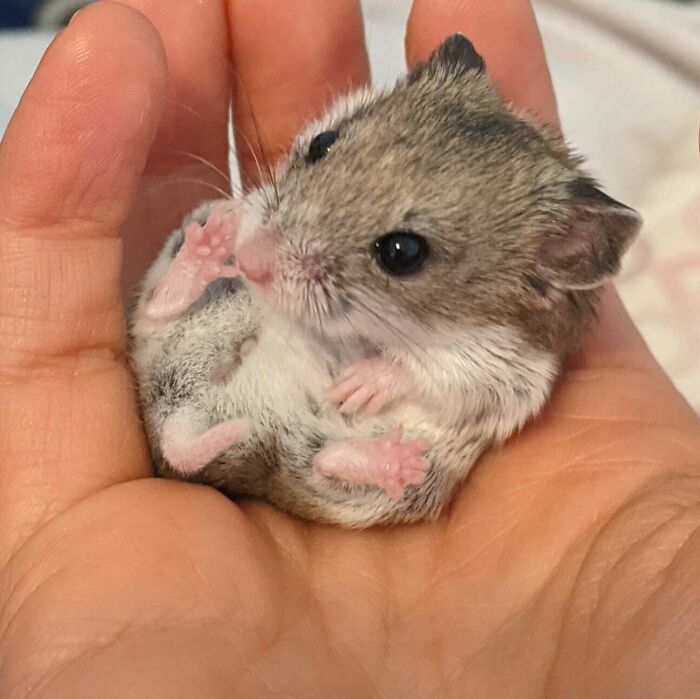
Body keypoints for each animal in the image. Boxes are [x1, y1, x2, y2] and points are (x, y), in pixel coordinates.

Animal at [128, 34, 641, 528]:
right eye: (322, 143)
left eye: (402, 252)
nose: (249, 262)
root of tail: (183, 418)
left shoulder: (507, 374)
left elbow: (426, 367)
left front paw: (353, 386)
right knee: (159, 308)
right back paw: (209, 246)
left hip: (395, 483)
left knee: (324, 461)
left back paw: (393, 460)